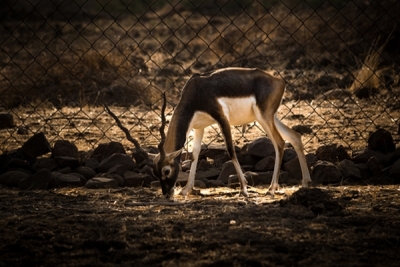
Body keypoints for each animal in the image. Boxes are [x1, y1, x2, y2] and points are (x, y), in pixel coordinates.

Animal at [155, 68, 310, 198]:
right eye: (156, 172)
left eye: (166, 171)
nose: (166, 194)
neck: (196, 91)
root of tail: (279, 81)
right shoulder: (199, 127)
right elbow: (194, 155)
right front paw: (186, 189)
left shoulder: (222, 118)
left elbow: (230, 151)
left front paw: (244, 189)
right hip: (272, 118)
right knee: (295, 137)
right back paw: (305, 182)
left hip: (264, 117)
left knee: (280, 142)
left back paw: (271, 189)